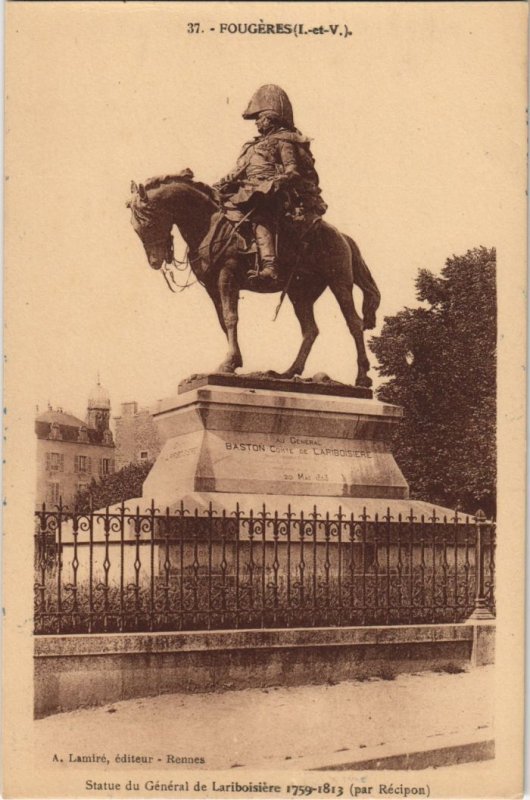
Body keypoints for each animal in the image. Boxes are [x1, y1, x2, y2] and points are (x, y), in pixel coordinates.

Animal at [126, 169, 378, 388]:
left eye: (147, 221)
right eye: (135, 227)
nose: (155, 261)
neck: (209, 223)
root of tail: (342, 236)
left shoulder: (227, 276)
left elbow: (231, 318)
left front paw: (228, 364)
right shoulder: (212, 287)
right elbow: (223, 321)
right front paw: (233, 362)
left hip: (340, 284)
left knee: (354, 323)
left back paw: (362, 378)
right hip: (299, 293)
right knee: (310, 330)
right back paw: (288, 372)